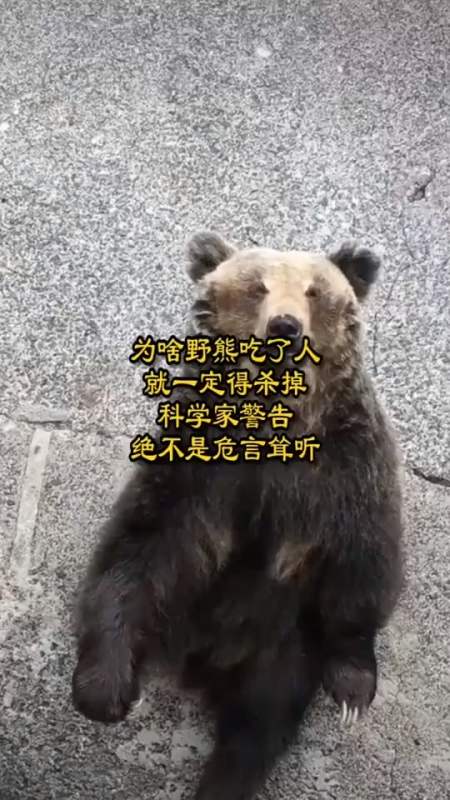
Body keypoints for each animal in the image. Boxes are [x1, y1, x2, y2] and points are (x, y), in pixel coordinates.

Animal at [71, 233, 404, 800]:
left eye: (315, 291)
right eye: (257, 287)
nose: (285, 327)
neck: (277, 421)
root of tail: (205, 660)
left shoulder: (348, 465)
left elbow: (364, 557)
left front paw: (352, 688)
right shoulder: (198, 462)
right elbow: (141, 544)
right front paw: (104, 688)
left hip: (283, 638)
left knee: (259, 722)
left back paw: (224, 777)